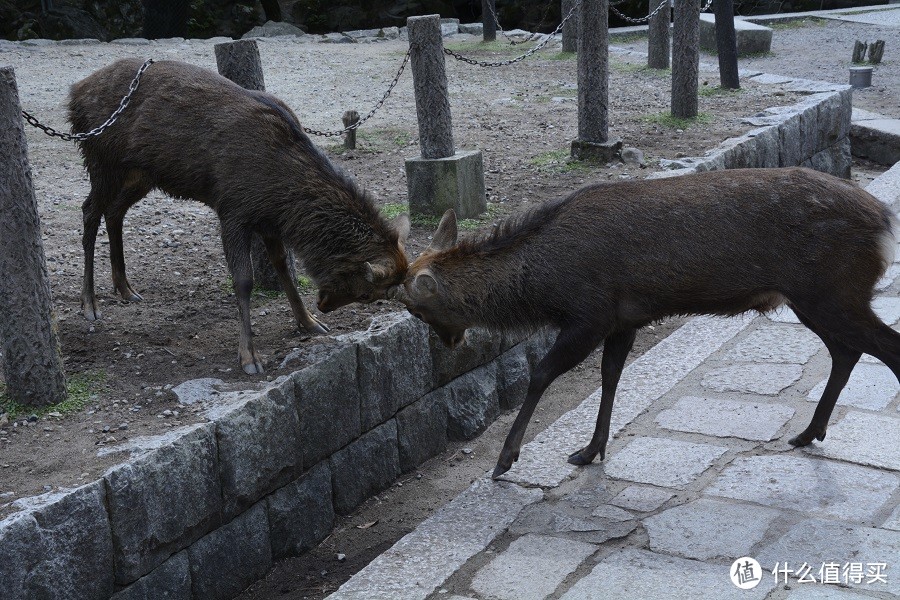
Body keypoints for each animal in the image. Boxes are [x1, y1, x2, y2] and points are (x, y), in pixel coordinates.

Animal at [69, 58, 408, 372]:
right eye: (365, 295)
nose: (323, 307)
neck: (281, 190)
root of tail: (75, 92)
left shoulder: (269, 220)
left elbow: (284, 267)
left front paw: (309, 323)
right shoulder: (233, 209)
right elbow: (244, 281)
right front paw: (249, 356)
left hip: (140, 173)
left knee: (115, 211)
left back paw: (125, 288)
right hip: (101, 157)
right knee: (89, 210)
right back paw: (89, 302)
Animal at [392, 166, 900, 476]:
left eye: (414, 308)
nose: (451, 343)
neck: (546, 285)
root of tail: (885, 220)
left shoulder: (590, 313)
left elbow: (542, 373)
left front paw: (506, 459)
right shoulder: (623, 319)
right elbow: (611, 376)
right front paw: (590, 450)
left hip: (831, 291)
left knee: (883, 347)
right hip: (813, 299)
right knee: (847, 350)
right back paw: (809, 432)